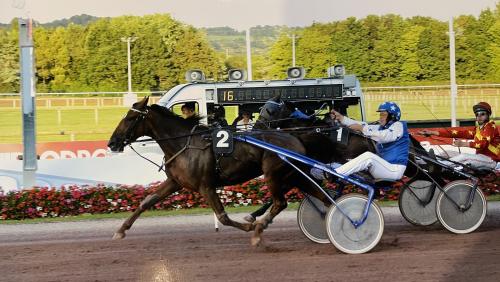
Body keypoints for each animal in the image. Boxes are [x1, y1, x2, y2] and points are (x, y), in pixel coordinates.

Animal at [107, 96, 330, 245]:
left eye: (129, 118)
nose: (112, 143)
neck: (184, 144)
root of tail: (295, 137)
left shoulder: (205, 186)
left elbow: (223, 217)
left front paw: (249, 227)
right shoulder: (175, 182)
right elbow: (146, 201)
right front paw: (120, 230)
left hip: (274, 174)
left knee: (280, 202)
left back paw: (258, 228)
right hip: (295, 174)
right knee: (322, 196)